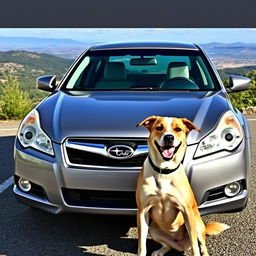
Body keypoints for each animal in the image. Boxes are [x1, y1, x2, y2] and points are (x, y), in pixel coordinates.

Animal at [135, 116, 229, 256]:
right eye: (159, 127)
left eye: (178, 129)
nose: (169, 137)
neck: (164, 170)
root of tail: (180, 244)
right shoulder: (142, 211)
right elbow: (142, 243)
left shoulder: (187, 211)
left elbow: (195, 245)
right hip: (152, 229)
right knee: (169, 245)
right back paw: (161, 250)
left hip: (196, 223)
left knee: (201, 244)